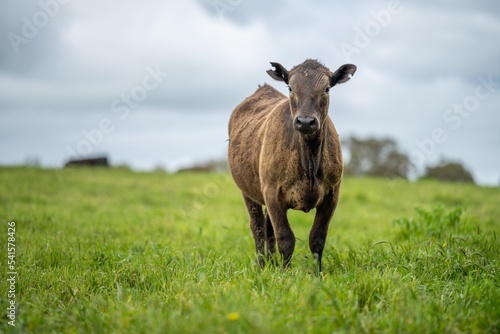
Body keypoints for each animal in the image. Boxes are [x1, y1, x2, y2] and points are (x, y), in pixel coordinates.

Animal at [227, 58, 356, 272]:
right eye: (290, 88)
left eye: (327, 88)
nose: (305, 121)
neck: (309, 162)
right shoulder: (273, 193)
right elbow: (285, 238)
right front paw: (285, 273)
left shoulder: (332, 195)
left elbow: (317, 238)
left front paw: (316, 273)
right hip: (248, 191)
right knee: (258, 227)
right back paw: (263, 265)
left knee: (267, 227)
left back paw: (271, 263)